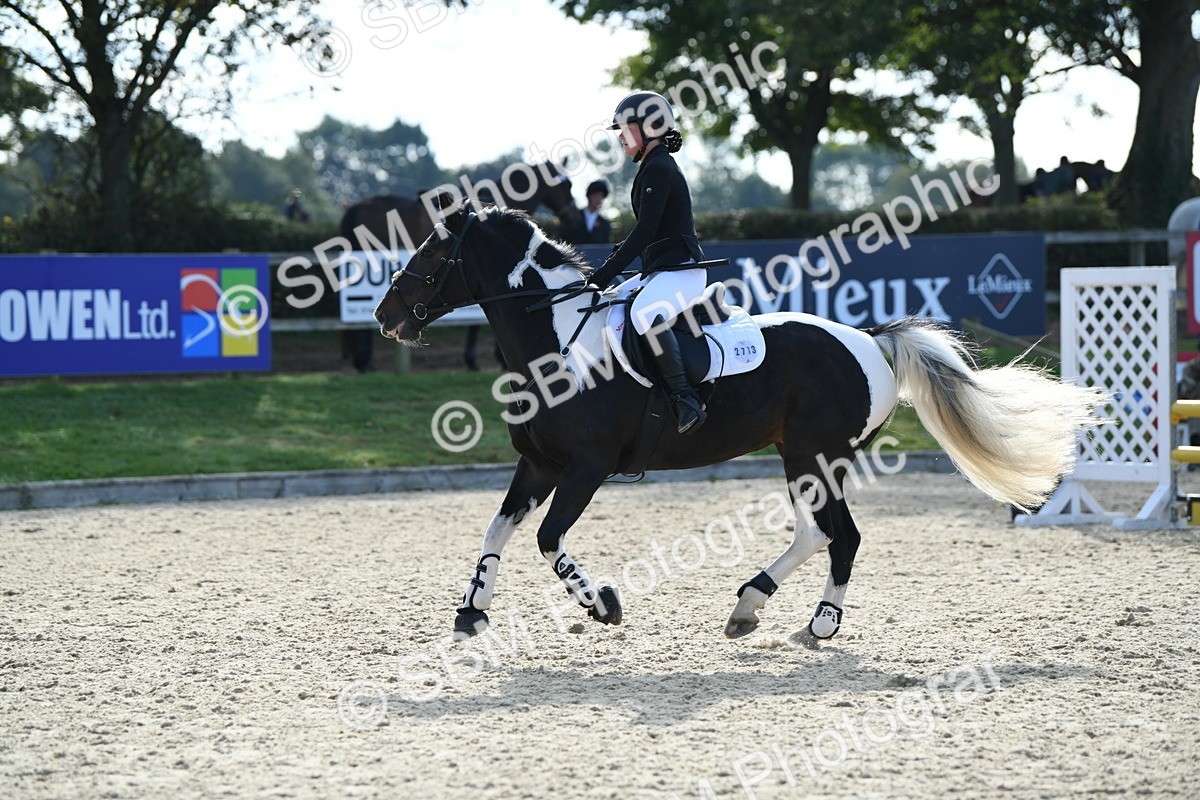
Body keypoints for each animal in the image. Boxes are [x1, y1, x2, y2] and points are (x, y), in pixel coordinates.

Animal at [373, 199, 1101, 642]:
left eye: (432, 255)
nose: (385, 315)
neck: (556, 342)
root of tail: (868, 338)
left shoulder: (586, 468)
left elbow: (550, 541)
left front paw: (601, 604)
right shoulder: (540, 464)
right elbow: (497, 528)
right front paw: (472, 611)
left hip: (814, 456)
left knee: (840, 536)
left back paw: (811, 620)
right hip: (803, 458)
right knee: (820, 534)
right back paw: (757, 607)